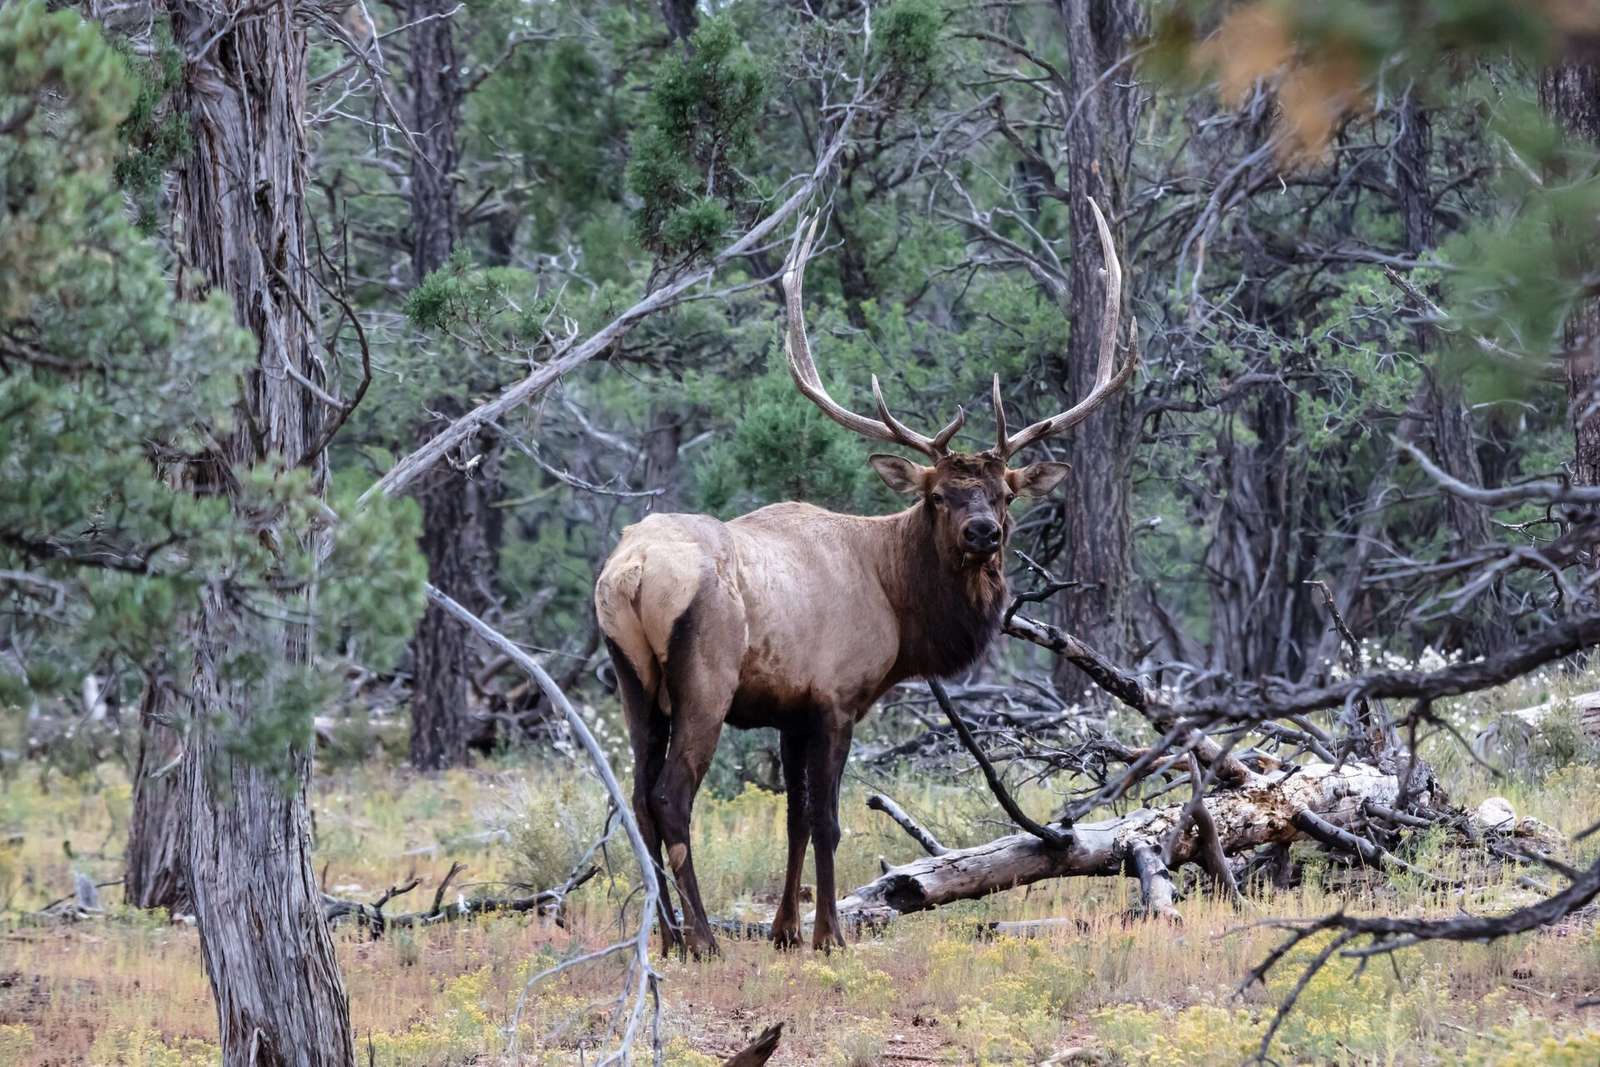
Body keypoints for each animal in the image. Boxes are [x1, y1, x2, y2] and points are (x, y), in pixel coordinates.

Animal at [594, 198, 1135, 957]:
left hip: (634, 680)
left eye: (1003, 493)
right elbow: (827, 820)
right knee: (672, 799)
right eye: (937, 494)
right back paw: (703, 938)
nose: (983, 533)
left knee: (638, 798)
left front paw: (786, 930)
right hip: (704, 677)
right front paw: (829, 935)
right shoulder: (836, 697)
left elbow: (793, 817)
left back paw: (669, 937)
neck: (898, 605)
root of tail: (632, 572)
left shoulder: (790, 709)